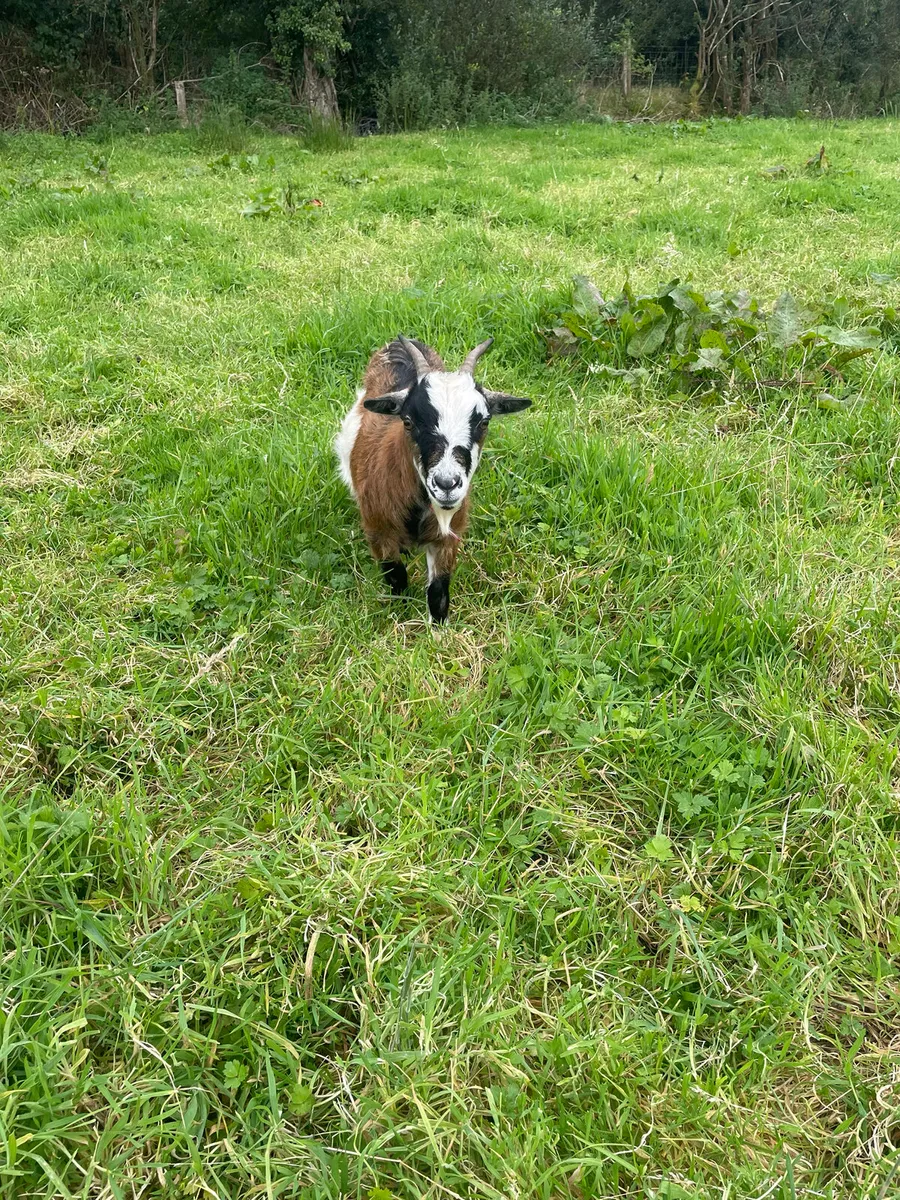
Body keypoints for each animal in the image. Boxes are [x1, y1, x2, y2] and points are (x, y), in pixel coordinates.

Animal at [335, 335, 531, 623]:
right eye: (407, 421)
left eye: (484, 422)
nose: (446, 484)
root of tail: (400, 342)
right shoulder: (378, 531)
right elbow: (396, 576)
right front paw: (400, 613)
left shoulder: (447, 538)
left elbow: (438, 591)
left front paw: (438, 628)